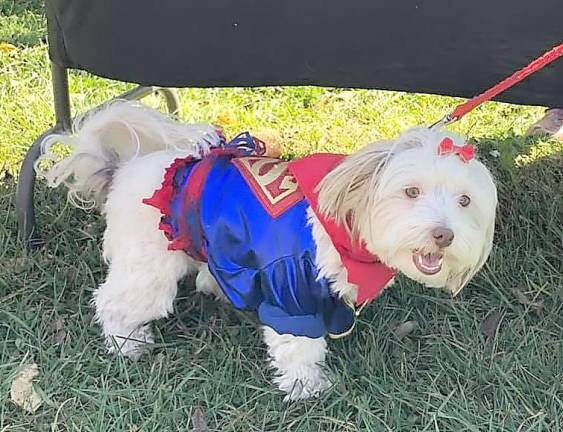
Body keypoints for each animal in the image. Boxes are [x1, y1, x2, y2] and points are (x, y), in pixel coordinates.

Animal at [37, 103, 498, 400]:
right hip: (149, 268)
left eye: (464, 201)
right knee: (114, 302)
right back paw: (126, 344)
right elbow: (298, 345)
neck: (340, 226)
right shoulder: (290, 286)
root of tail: (124, 168)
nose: (443, 235)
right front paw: (306, 387)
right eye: (411, 192)